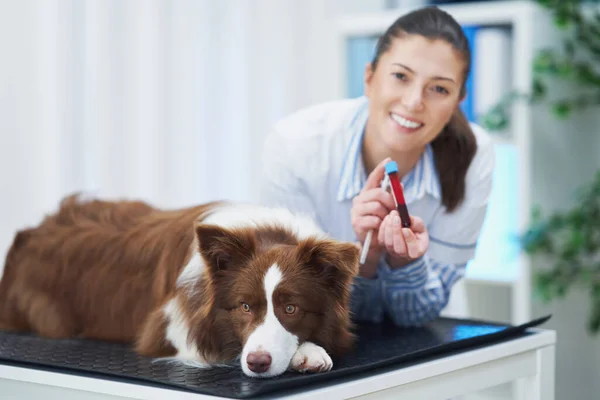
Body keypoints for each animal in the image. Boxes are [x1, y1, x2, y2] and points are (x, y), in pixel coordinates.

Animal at [0, 195, 360, 376]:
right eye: (244, 306)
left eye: (291, 308)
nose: (257, 363)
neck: (267, 234)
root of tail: (29, 233)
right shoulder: (164, 328)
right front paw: (306, 352)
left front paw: (309, 350)